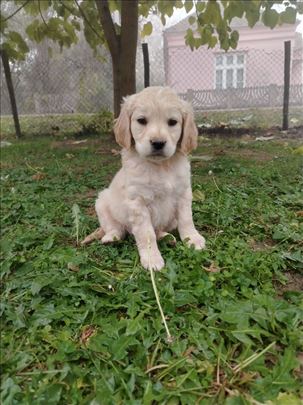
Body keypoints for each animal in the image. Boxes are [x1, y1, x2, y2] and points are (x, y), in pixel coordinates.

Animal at [84, 87, 205, 270]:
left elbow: (186, 219)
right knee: (117, 228)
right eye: (141, 120)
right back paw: (112, 238)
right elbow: (146, 233)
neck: (161, 166)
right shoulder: (137, 202)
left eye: (172, 122)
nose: (158, 143)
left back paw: (166, 236)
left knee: (159, 229)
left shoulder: (184, 193)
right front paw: (152, 258)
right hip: (102, 202)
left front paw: (193, 238)